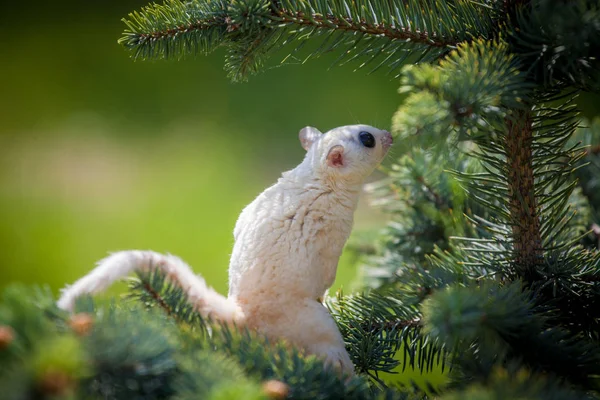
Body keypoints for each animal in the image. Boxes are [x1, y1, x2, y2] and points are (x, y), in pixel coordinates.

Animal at [56, 125, 394, 376]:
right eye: (367, 139)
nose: (390, 135)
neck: (317, 177)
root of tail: (242, 317)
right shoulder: (332, 235)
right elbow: (327, 273)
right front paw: (329, 291)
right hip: (317, 328)